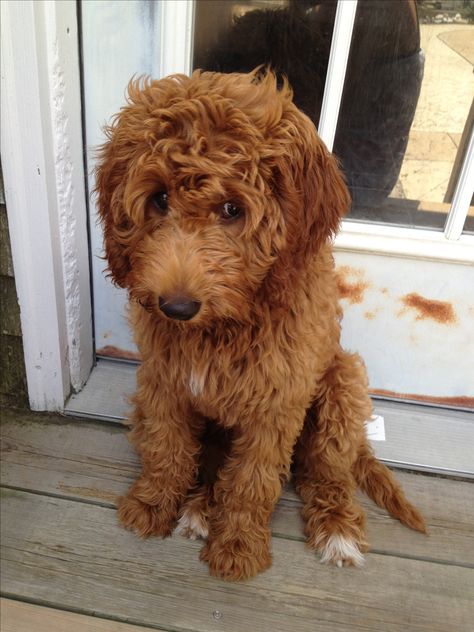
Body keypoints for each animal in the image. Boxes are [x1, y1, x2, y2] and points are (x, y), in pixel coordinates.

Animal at [96, 70, 426, 584]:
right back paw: (198, 508)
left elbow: (253, 479)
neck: (223, 328)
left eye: (233, 209)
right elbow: (167, 447)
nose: (175, 307)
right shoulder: (162, 381)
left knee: (325, 471)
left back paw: (336, 528)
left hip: (344, 384)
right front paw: (151, 505)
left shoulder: (277, 403)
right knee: (209, 462)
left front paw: (238, 546)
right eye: (159, 198)